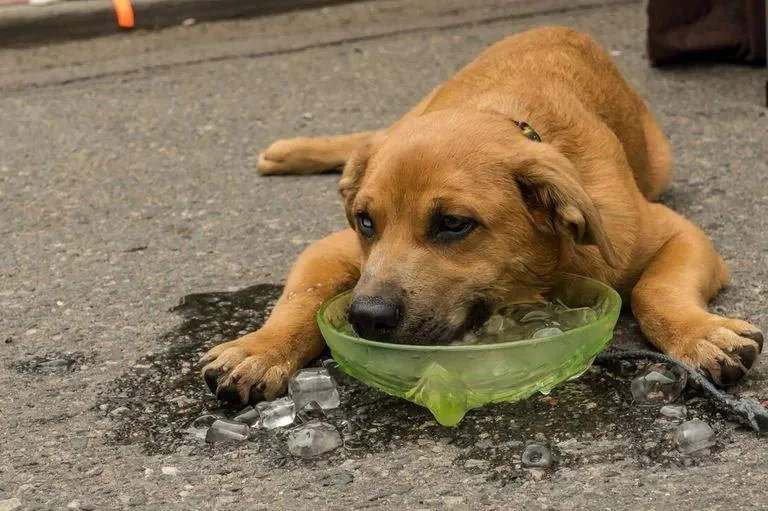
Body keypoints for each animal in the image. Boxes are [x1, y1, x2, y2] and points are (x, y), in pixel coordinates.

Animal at [198, 28, 760, 406]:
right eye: (365, 222)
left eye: (453, 224)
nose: (366, 319)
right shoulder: (330, 248)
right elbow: (300, 300)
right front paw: (259, 349)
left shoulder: (674, 234)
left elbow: (655, 289)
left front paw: (698, 335)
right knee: (371, 136)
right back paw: (288, 152)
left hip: (660, 162)